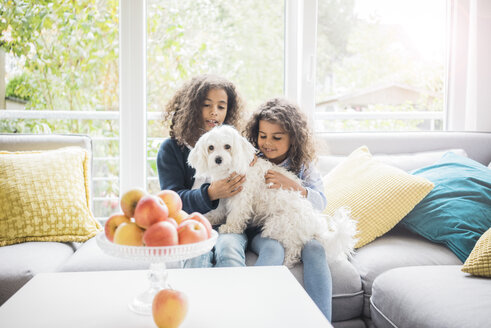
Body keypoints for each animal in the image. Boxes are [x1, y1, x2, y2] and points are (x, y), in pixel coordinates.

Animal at [188, 125, 358, 266]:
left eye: (227, 146)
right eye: (211, 147)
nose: (218, 159)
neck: (230, 170)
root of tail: (314, 222)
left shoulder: (241, 198)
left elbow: (236, 215)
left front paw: (230, 227)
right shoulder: (223, 196)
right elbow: (217, 211)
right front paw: (209, 218)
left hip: (277, 225)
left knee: (294, 248)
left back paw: (287, 262)